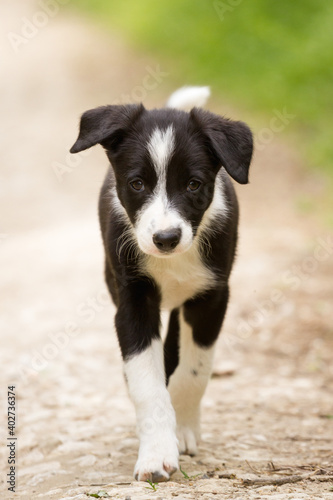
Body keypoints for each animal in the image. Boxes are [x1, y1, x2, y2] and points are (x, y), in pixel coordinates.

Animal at [70, 88, 252, 482]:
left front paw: (182, 430)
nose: (166, 238)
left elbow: (194, 372)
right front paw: (156, 454)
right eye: (137, 183)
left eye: (194, 184)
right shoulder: (133, 302)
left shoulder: (212, 297)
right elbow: (147, 383)